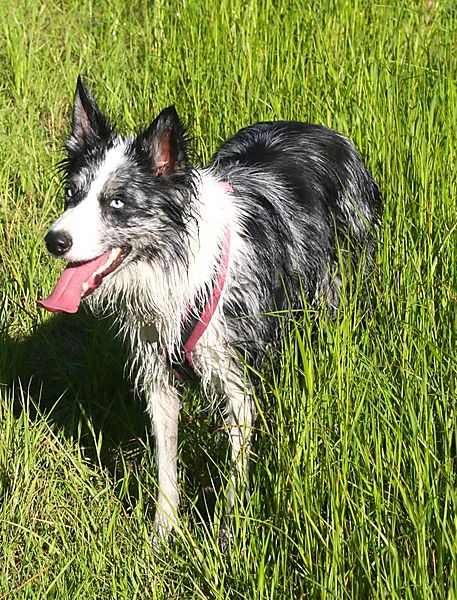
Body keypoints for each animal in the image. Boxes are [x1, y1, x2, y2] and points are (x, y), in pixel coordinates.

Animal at [40, 77, 382, 540]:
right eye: (72, 194)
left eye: (117, 203)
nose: (54, 241)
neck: (175, 265)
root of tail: (321, 129)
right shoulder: (159, 375)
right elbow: (166, 466)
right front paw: (162, 535)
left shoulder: (236, 378)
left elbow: (236, 473)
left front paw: (228, 536)